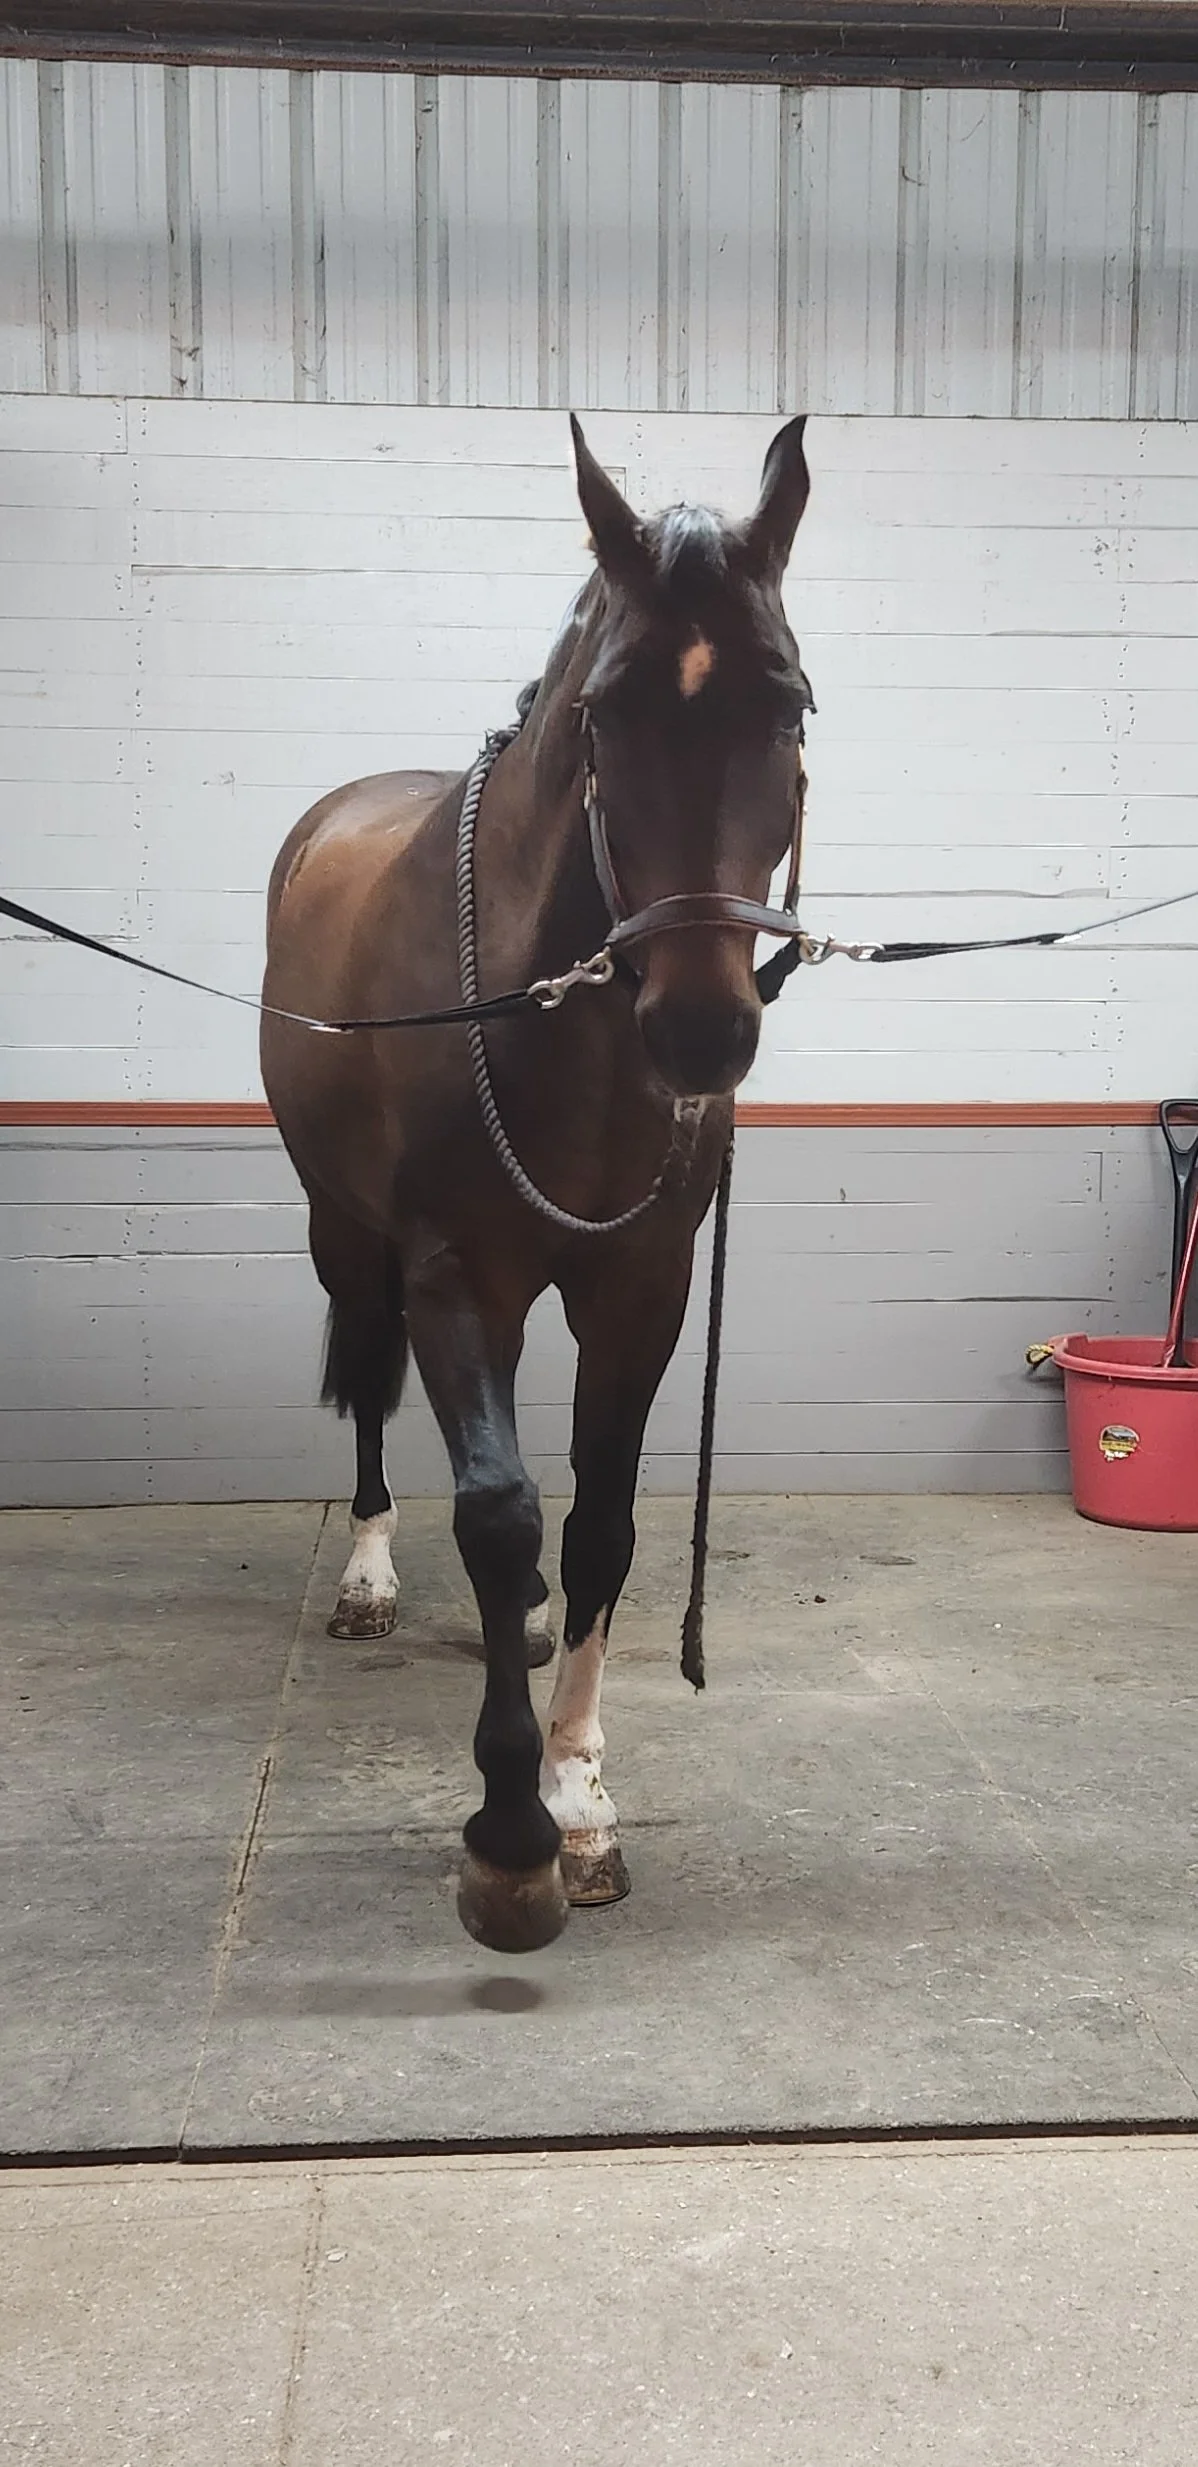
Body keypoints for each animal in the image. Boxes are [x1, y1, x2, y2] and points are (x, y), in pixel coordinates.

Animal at [260, 415, 813, 1955]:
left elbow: (602, 1519)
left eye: (790, 708)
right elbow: (499, 1511)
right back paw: (371, 1577)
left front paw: (577, 1797)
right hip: (347, 1235)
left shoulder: (639, 1285)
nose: (702, 1030)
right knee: (377, 1387)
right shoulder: (463, 1275)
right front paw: (508, 1836)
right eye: (608, 713)